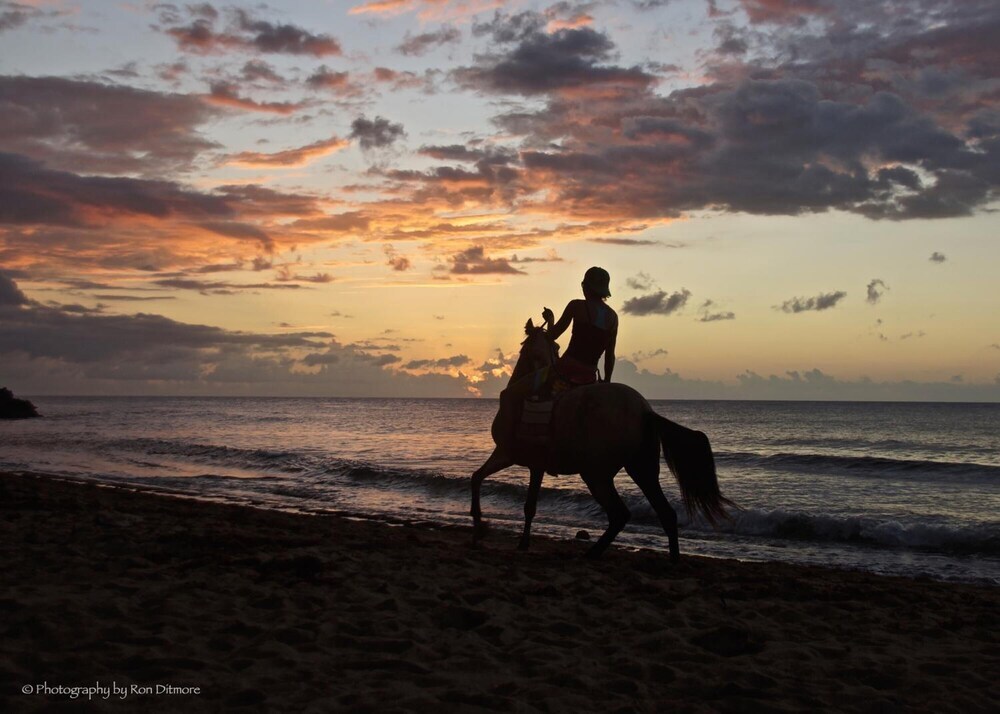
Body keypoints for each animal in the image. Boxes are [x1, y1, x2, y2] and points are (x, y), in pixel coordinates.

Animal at [470, 318, 733, 562]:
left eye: (524, 348)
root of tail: (644, 410)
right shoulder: (520, 459)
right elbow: (485, 481)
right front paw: (489, 530)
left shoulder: (518, 457)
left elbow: (521, 501)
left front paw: (497, 533)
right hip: (642, 470)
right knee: (665, 513)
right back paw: (672, 561)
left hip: (596, 474)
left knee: (620, 514)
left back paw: (592, 553)